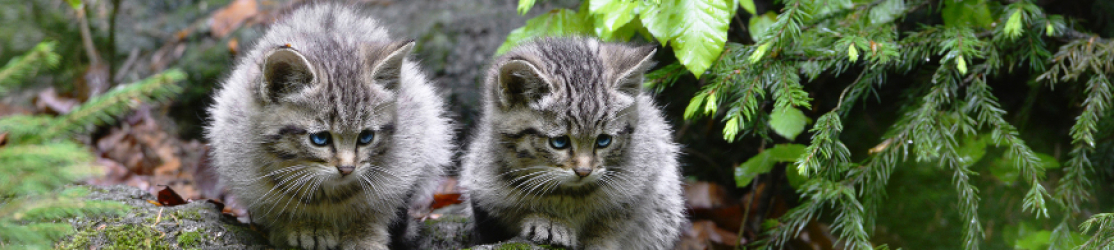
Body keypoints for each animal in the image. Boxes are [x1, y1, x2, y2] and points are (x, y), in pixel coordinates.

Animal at [204, 4, 452, 250]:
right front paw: (306, 226)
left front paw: (363, 234)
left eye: (366, 137)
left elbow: (375, 209)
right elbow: (279, 211)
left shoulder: (407, 158)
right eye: (320, 139)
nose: (347, 169)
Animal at [461, 37, 686, 250]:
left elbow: (613, 224)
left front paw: (597, 241)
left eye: (603, 140)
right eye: (559, 142)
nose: (584, 171)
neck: (568, 194)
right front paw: (549, 222)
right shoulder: (484, 193)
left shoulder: (644, 183)